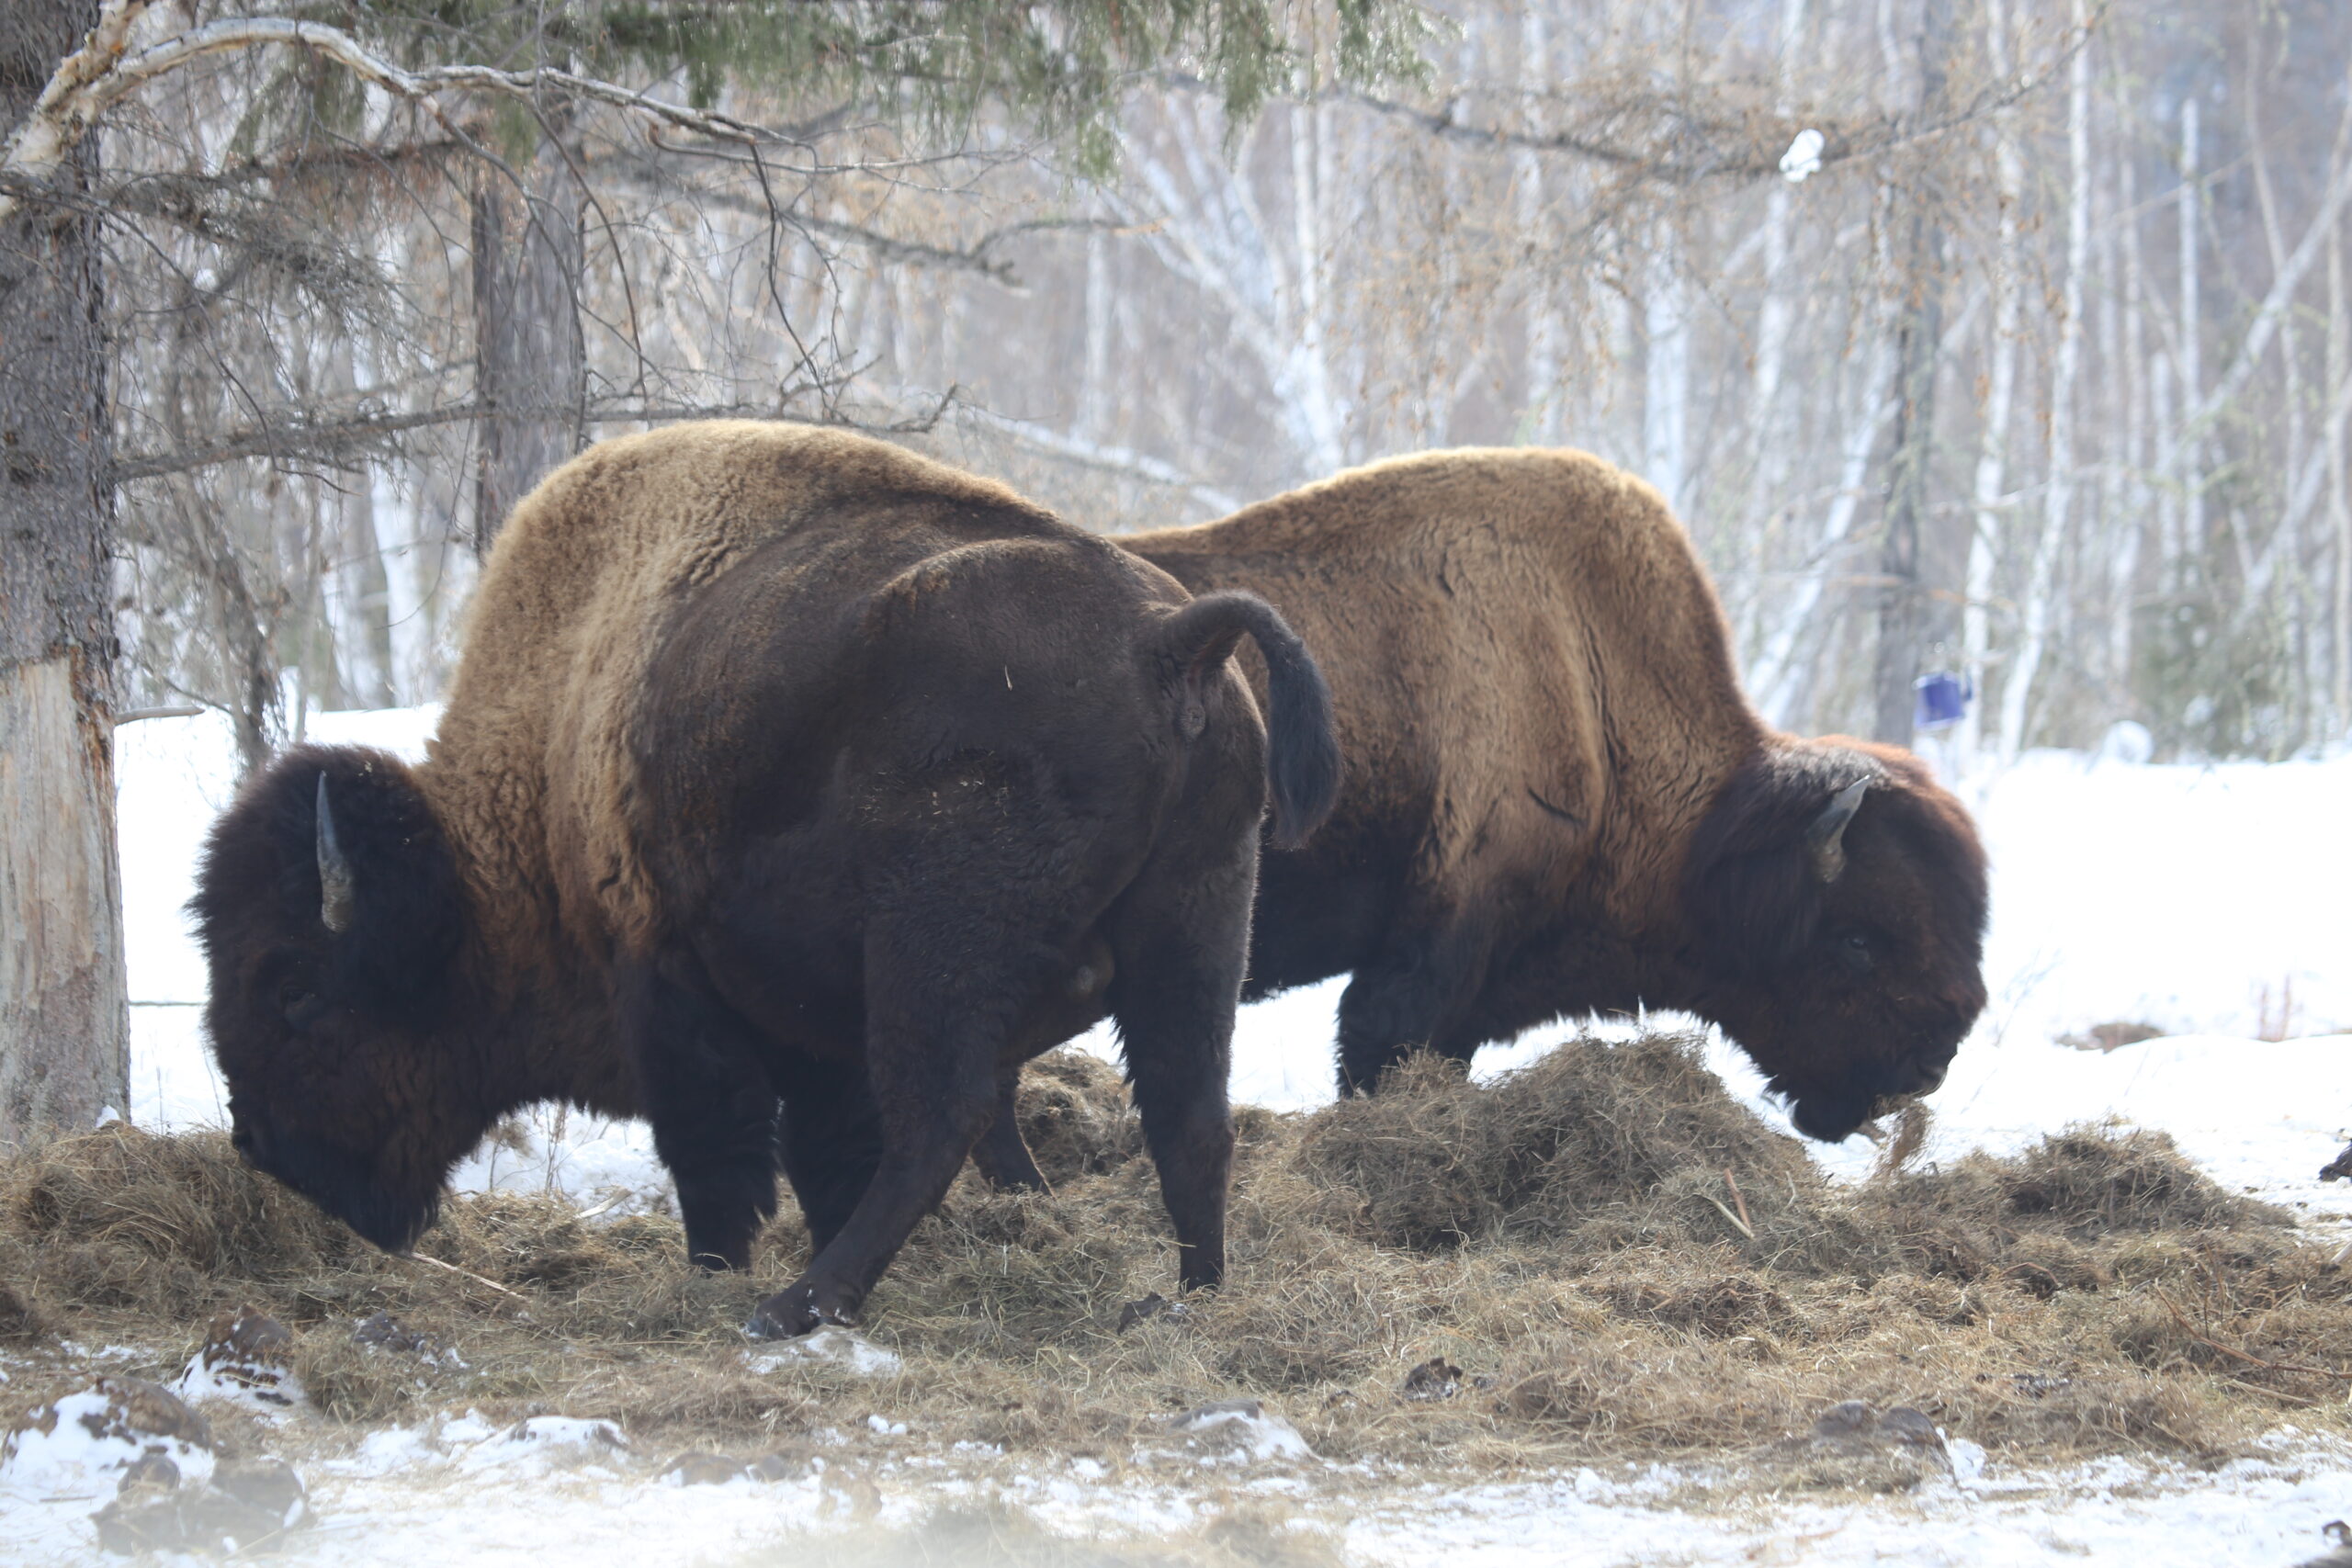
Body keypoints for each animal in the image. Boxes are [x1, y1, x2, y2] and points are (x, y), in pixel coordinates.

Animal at [192, 421, 1336, 1335]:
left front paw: (716, 1271)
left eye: (295, 989)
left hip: (935, 952)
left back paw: (793, 1308)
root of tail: (1167, 641)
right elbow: (819, 1147)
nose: (260, 1145)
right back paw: (1186, 1301)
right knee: (1187, 1115)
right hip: (1196, 922)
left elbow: (718, 1155)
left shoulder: (668, 987)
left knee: (944, 1121)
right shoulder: (799, 1027)